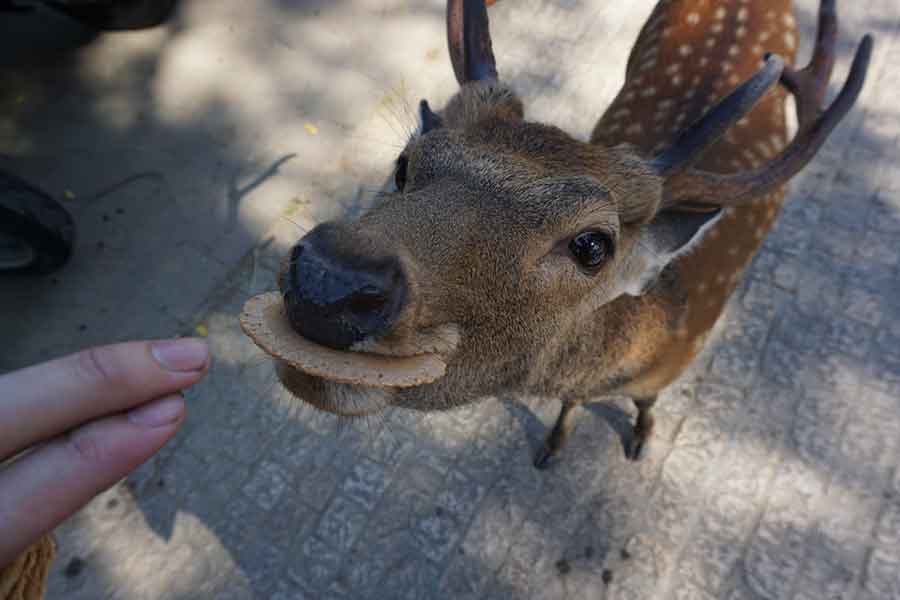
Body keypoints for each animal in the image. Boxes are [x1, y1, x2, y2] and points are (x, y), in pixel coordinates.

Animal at [272, 0, 873, 468]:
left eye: (592, 245)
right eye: (403, 164)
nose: (327, 278)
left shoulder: (670, 371)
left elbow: (646, 406)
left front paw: (640, 438)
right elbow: (569, 409)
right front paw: (553, 446)